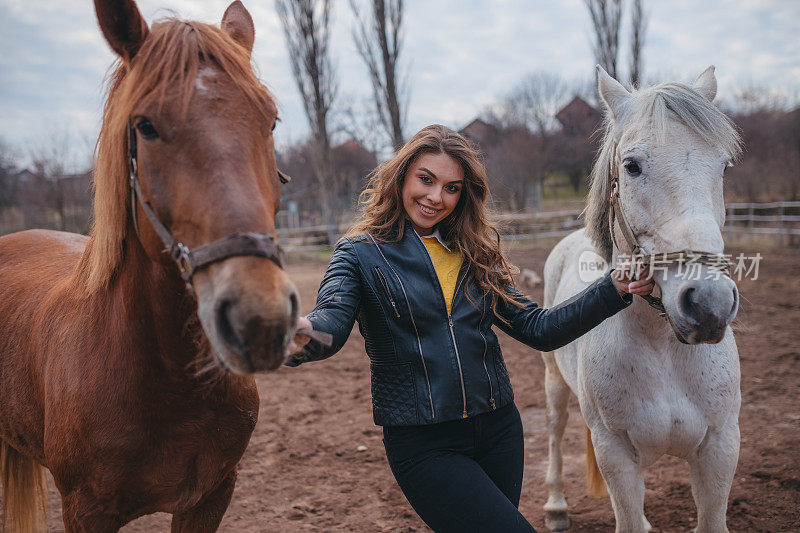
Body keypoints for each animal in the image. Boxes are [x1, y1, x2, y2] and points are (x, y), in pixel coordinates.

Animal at [544, 67, 744, 532]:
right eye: (631, 166)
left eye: (723, 166)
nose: (708, 304)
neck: (662, 344)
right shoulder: (615, 455)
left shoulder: (721, 448)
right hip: (554, 385)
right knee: (556, 432)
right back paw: (557, 506)